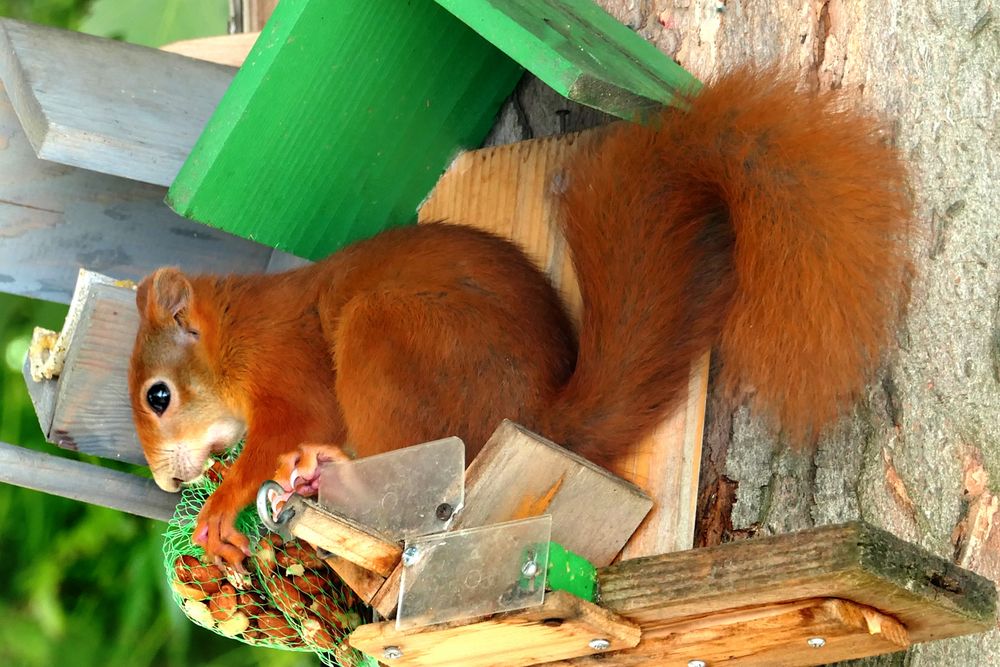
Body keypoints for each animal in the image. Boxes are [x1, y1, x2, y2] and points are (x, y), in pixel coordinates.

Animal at [127, 70, 916, 568]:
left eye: (158, 396)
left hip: (386, 340)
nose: (164, 484)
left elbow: (292, 422)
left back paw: (329, 469)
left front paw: (223, 502)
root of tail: (536, 418)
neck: (233, 331)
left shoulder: (285, 360)